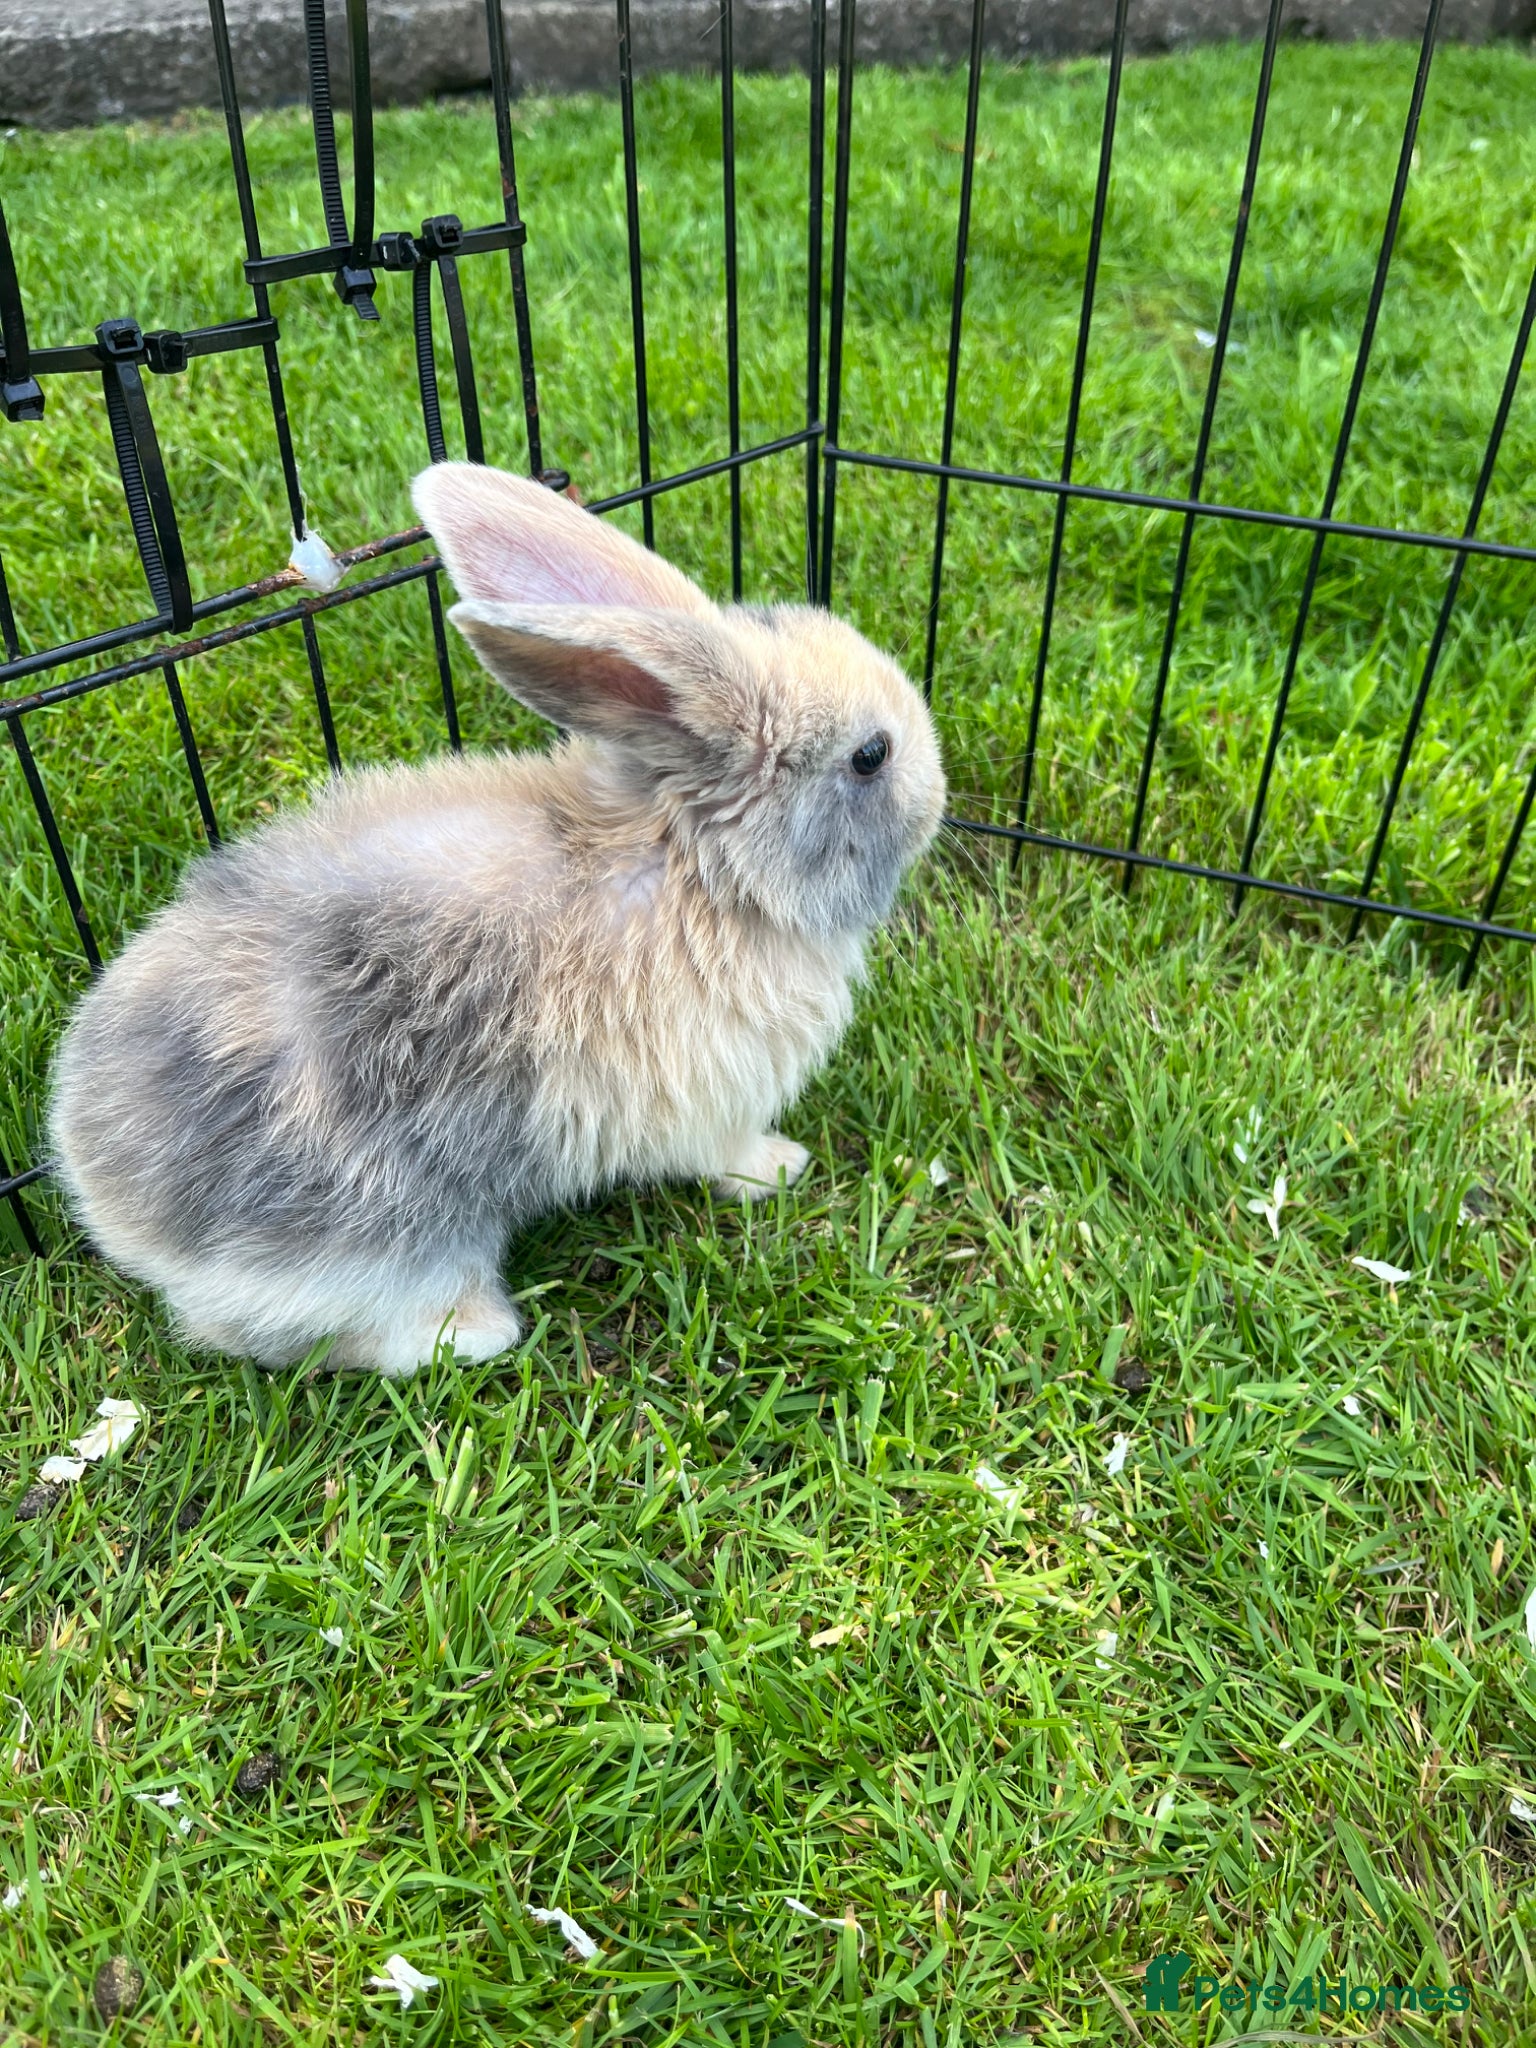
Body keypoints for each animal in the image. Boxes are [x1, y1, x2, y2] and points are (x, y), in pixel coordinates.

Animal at [47, 463, 946, 1377]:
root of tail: (113, 1212)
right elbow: (725, 1154)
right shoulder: (712, 1102)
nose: (937, 801)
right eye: (870, 756)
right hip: (383, 1241)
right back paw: (482, 1329)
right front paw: (781, 1167)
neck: (699, 867)